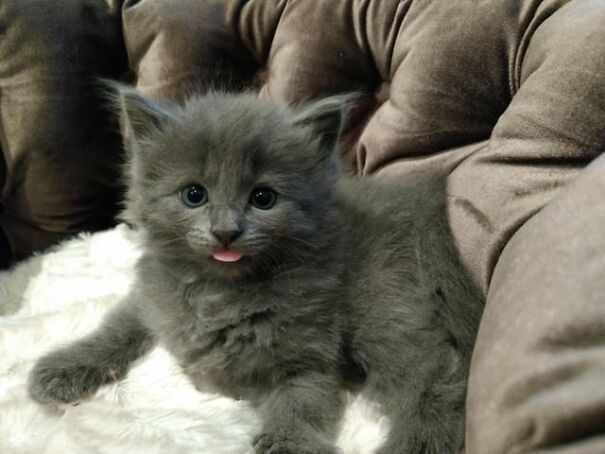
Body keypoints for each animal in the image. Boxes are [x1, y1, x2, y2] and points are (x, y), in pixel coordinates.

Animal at [28, 86, 484, 454]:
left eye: (264, 198)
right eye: (193, 194)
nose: (226, 231)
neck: (219, 290)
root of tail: (421, 197)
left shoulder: (310, 353)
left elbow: (301, 400)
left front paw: (287, 443)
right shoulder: (152, 295)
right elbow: (116, 328)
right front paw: (63, 367)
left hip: (384, 310)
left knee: (439, 376)